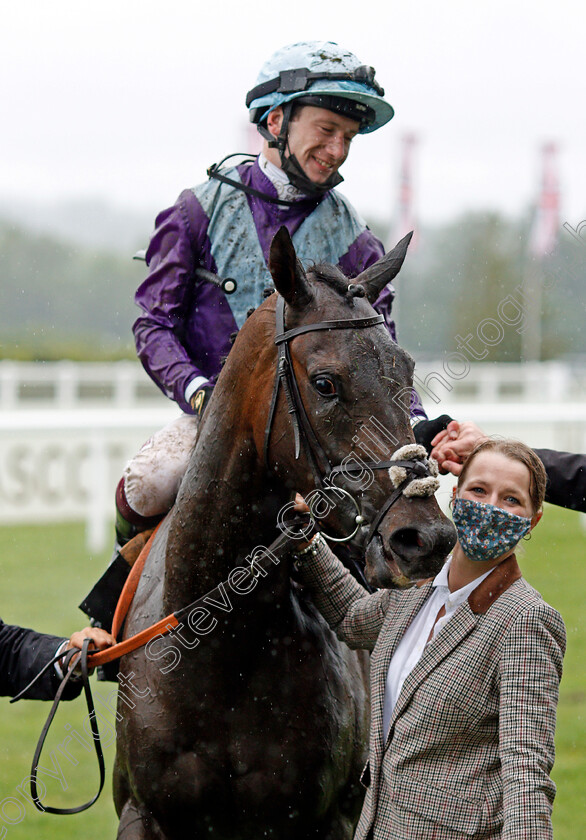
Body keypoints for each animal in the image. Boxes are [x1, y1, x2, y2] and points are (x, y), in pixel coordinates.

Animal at [112, 230, 454, 840]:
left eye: (406, 371)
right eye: (325, 382)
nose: (425, 538)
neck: (221, 649)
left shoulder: (327, 818)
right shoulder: (144, 814)